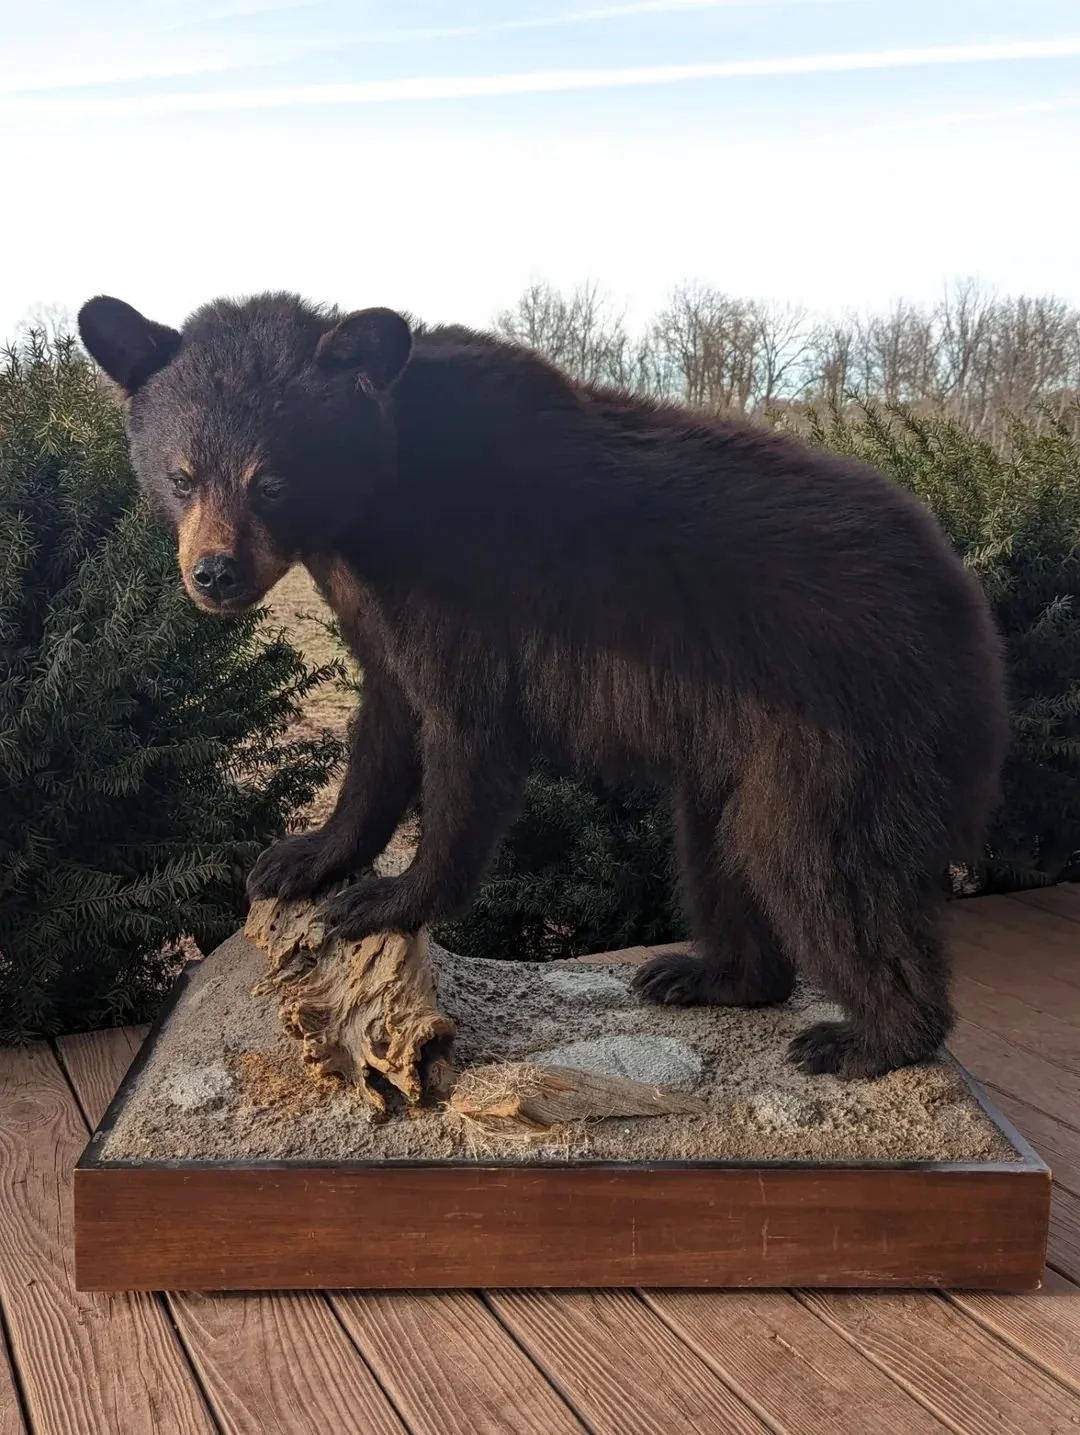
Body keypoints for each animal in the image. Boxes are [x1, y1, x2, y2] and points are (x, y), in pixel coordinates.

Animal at [77, 290, 1009, 1079]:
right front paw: (301, 858)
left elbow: (465, 733)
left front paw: (389, 896)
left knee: (818, 863)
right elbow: (383, 725)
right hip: (744, 746)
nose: (214, 574)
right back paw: (708, 974)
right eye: (182, 474)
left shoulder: (467, 588)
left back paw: (869, 1038)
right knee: (719, 847)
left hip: (845, 724)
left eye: (272, 478)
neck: (377, 497)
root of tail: (968, 612)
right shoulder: (372, 601)